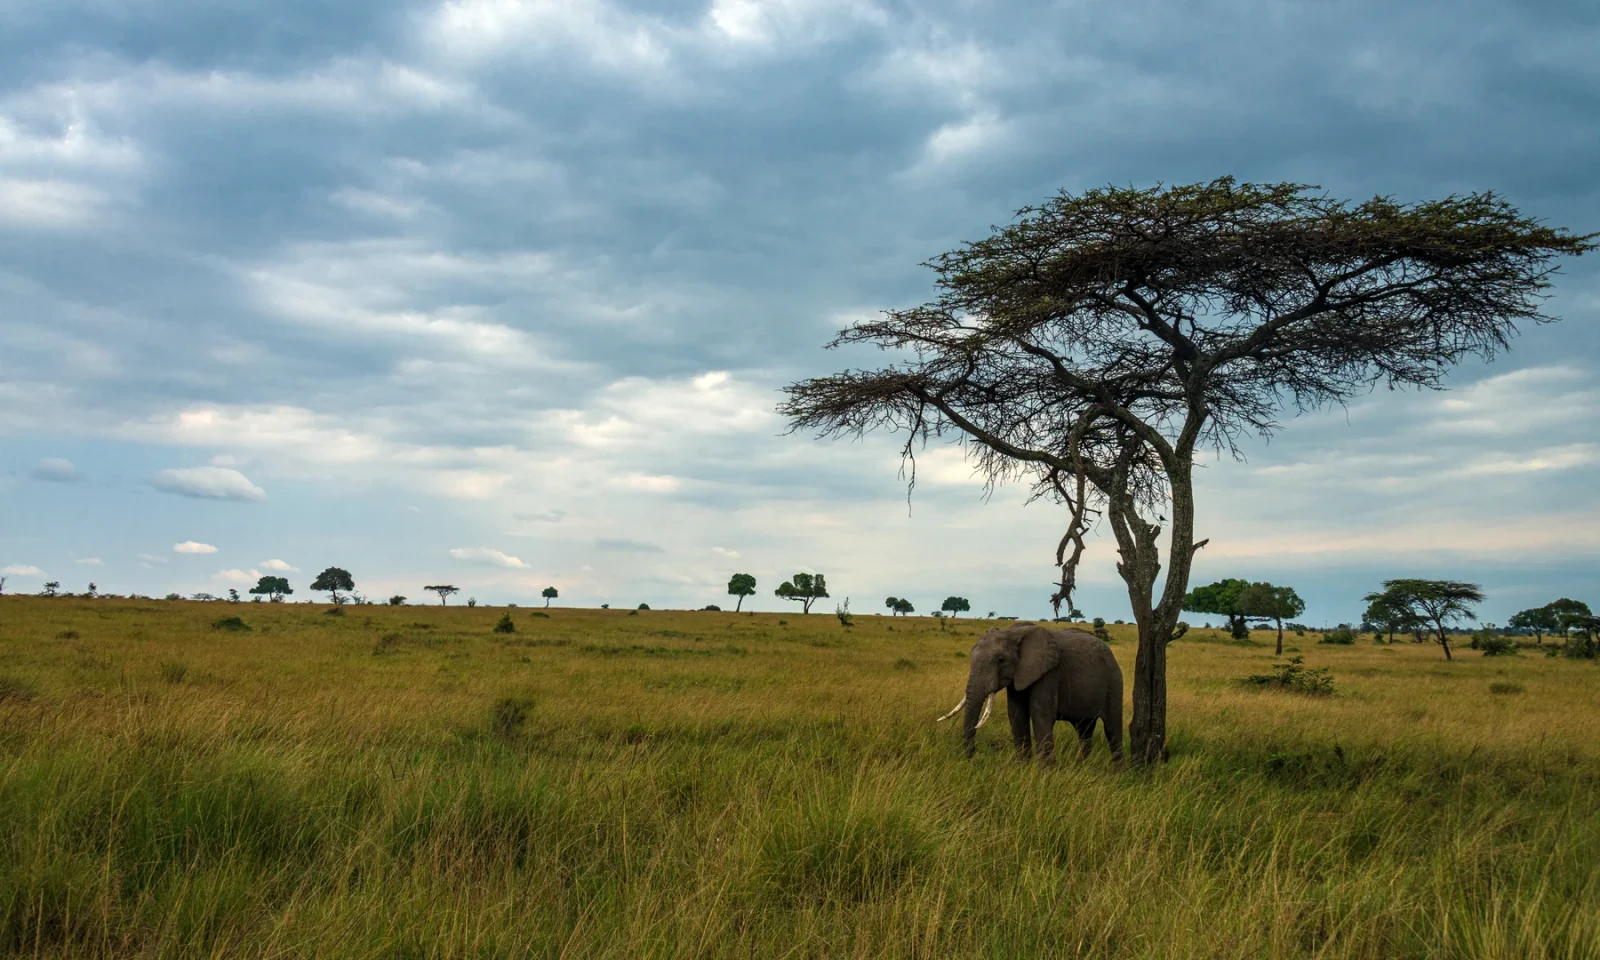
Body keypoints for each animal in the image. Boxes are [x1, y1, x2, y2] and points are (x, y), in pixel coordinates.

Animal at [937, 621, 1123, 762]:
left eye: (1000, 660)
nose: (973, 759)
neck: (1012, 633)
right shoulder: (1018, 676)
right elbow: (1016, 714)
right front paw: (1023, 767)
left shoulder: (1049, 673)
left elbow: (1041, 714)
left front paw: (1046, 774)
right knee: (1084, 729)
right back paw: (1081, 766)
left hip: (1114, 681)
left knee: (1112, 728)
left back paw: (1117, 772)